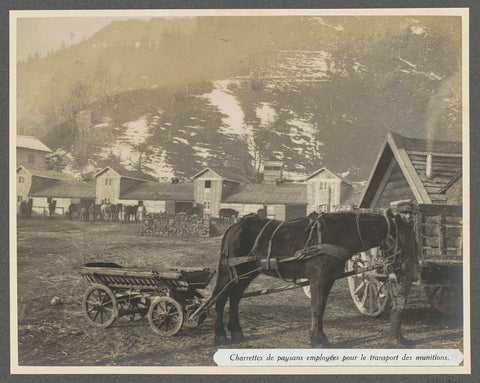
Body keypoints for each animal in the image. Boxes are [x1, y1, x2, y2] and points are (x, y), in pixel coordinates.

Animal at [212, 210, 418, 348]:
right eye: (404, 238)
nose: (412, 267)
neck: (337, 234)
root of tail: (234, 226)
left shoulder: (328, 279)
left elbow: (321, 307)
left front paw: (320, 337)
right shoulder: (319, 278)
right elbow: (317, 307)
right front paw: (316, 339)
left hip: (245, 273)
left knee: (235, 297)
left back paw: (236, 331)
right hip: (229, 271)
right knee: (220, 298)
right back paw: (220, 335)